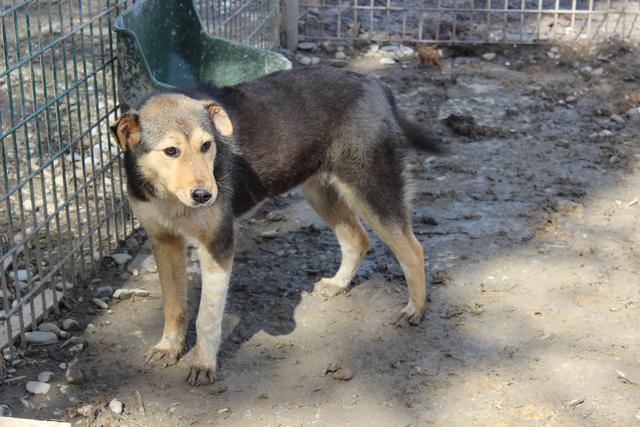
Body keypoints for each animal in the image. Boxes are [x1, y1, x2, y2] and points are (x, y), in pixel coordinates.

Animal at [109, 66, 440, 384]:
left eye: (206, 146)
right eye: (171, 151)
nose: (205, 195)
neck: (169, 197)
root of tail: (376, 85)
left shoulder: (217, 244)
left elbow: (207, 318)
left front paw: (203, 364)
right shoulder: (163, 241)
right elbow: (174, 306)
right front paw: (168, 348)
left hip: (371, 188)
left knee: (413, 250)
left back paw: (415, 309)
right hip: (321, 192)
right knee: (358, 239)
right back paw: (339, 283)